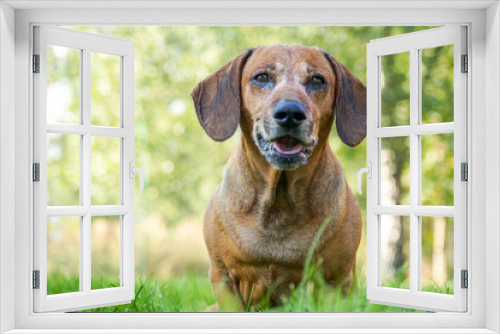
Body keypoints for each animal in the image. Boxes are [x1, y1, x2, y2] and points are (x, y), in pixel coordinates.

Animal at [189, 43, 366, 310]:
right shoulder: (223, 276)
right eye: (262, 77)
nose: (290, 113)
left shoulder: (337, 281)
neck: (278, 201)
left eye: (317, 80)